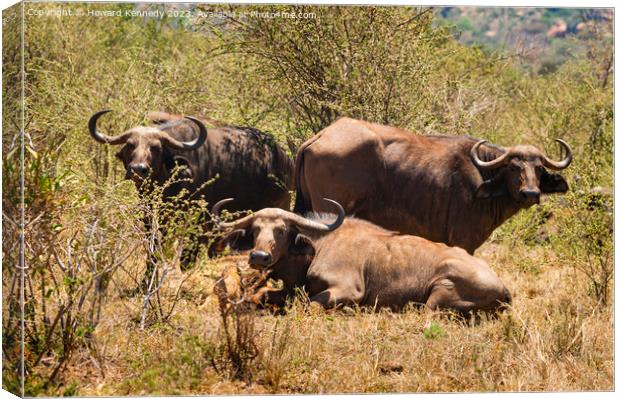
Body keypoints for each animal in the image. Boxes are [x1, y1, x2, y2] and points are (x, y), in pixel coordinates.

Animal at [216, 198, 512, 314]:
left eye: (280, 230)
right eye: (256, 230)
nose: (259, 256)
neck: (319, 244)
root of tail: (504, 289)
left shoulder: (348, 291)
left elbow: (310, 304)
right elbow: (262, 294)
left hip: (437, 295)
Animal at [294, 117, 572, 253]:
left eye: (539, 168)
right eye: (514, 167)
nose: (530, 193)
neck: (484, 175)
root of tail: (321, 135)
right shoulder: (462, 240)